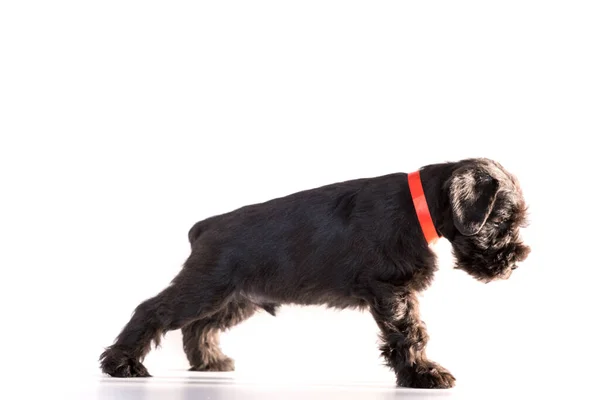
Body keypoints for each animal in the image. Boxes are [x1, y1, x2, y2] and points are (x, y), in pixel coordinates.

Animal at [98, 158, 528, 390]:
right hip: (205, 287)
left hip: (236, 298)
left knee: (198, 326)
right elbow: (410, 332)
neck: (419, 206)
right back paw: (121, 365)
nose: (515, 263)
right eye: (503, 221)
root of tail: (205, 227)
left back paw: (209, 361)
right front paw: (423, 373)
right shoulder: (392, 289)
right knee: (153, 310)